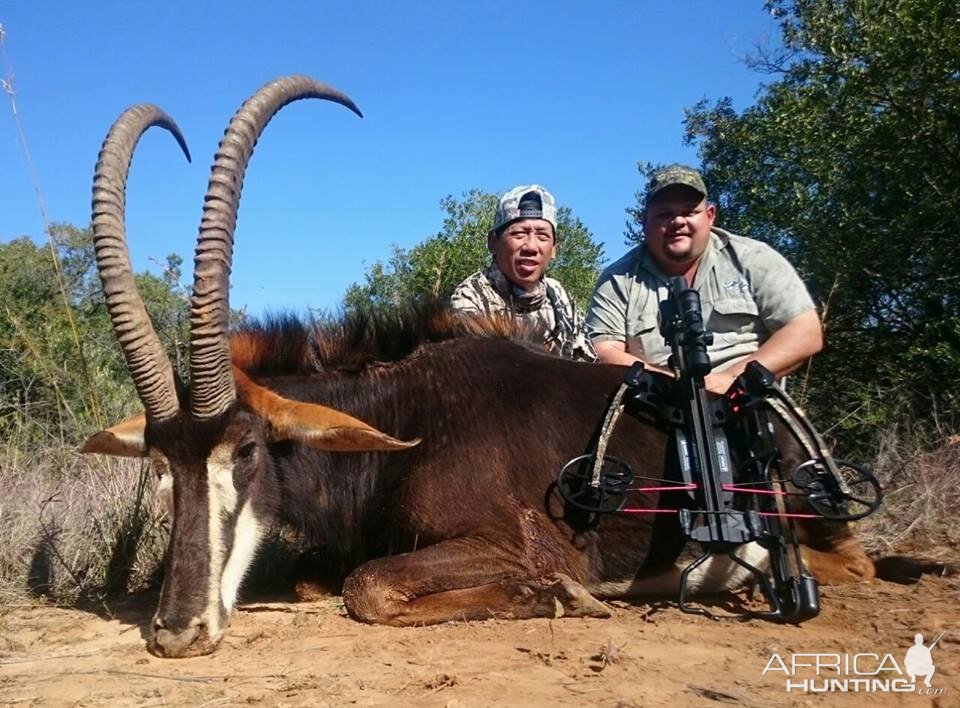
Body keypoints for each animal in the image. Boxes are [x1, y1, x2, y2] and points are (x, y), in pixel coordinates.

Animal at [86, 76, 928, 660]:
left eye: (248, 450)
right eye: (162, 463)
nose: (177, 631)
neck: (407, 420)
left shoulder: (512, 540)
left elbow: (370, 585)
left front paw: (557, 598)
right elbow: (324, 576)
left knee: (851, 567)